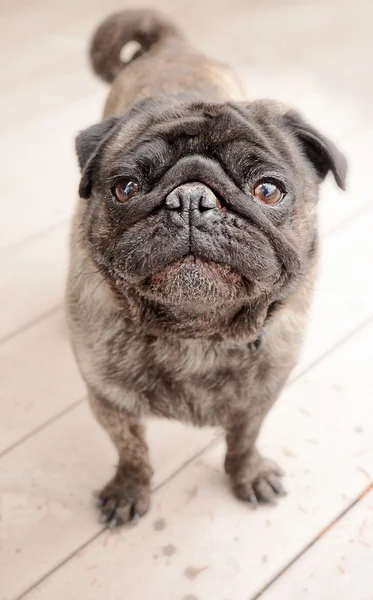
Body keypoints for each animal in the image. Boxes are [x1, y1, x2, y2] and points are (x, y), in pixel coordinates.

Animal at [66, 8, 346, 524]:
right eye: (126, 188)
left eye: (268, 190)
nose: (192, 200)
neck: (197, 336)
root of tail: (170, 43)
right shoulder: (110, 403)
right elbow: (131, 451)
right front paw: (128, 489)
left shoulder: (259, 400)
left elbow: (243, 440)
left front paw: (249, 474)